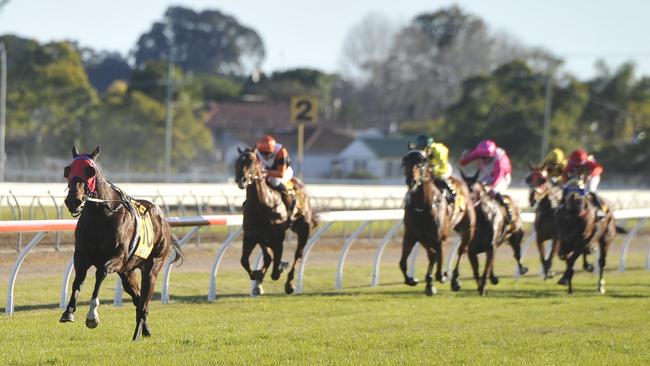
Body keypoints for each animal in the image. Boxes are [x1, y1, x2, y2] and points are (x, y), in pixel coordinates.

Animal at [58, 146, 180, 340]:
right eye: (68, 170)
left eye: (89, 171)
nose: (73, 201)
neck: (100, 217)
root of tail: (162, 218)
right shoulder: (82, 256)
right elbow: (78, 280)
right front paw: (68, 312)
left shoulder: (117, 257)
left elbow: (100, 273)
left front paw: (92, 316)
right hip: (127, 273)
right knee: (138, 300)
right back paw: (145, 330)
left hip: (152, 268)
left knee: (144, 303)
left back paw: (137, 335)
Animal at [233, 147, 314, 296]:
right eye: (237, 162)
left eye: (252, 161)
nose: (241, 180)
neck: (262, 203)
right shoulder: (251, 236)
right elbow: (245, 261)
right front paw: (257, 276)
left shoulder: (277, 239)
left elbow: (275, 270)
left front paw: (280, 268)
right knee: (268, 257)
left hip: (303, 229)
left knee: (298, 254)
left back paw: (289, 284)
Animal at [398, 150, 474, 296]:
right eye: (405, 163)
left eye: (421, 164)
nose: (411, 181)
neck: (423, 205)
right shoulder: (411, 236)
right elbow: (403, 261)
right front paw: (411, 280)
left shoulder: (432, 236)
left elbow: (432, 256)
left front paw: (430, 284)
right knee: (439, 251)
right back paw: (440, 275)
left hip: (467, 229)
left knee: (461, 250)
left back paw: (454, 280)